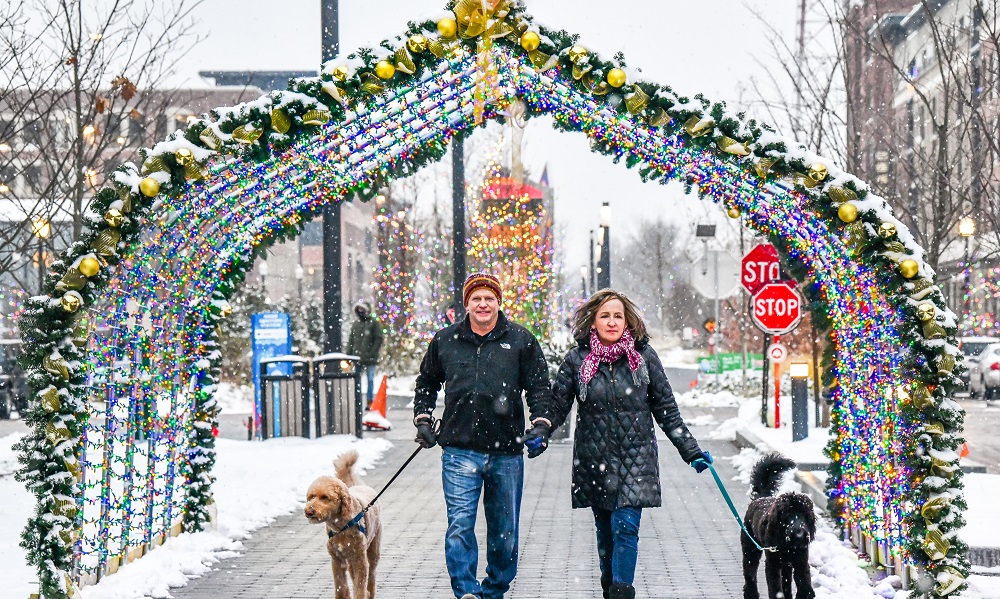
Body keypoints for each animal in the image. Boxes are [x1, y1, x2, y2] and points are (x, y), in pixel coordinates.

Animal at [302, 450, 380, 599]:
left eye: (325, 497)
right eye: (311, 497)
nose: (309, 511)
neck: (341, 527)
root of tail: (360, 486)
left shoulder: (360, 560)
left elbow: (360, 586)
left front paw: (362, 593)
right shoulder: (336, 559)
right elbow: (340, 586)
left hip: (373, 549)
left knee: (372, 575)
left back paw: (370, 592)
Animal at [740, 454, 816, 599]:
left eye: (805, 515)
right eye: (787, 515)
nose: (799, 533)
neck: (789, 545)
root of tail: (761, 497)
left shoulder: (801, 561)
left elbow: (804, 586)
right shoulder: (773, 563)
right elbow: (775, 588)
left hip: (786, 564)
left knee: (786, 582)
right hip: (750, 549)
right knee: (750, 573)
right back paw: (751, 593)